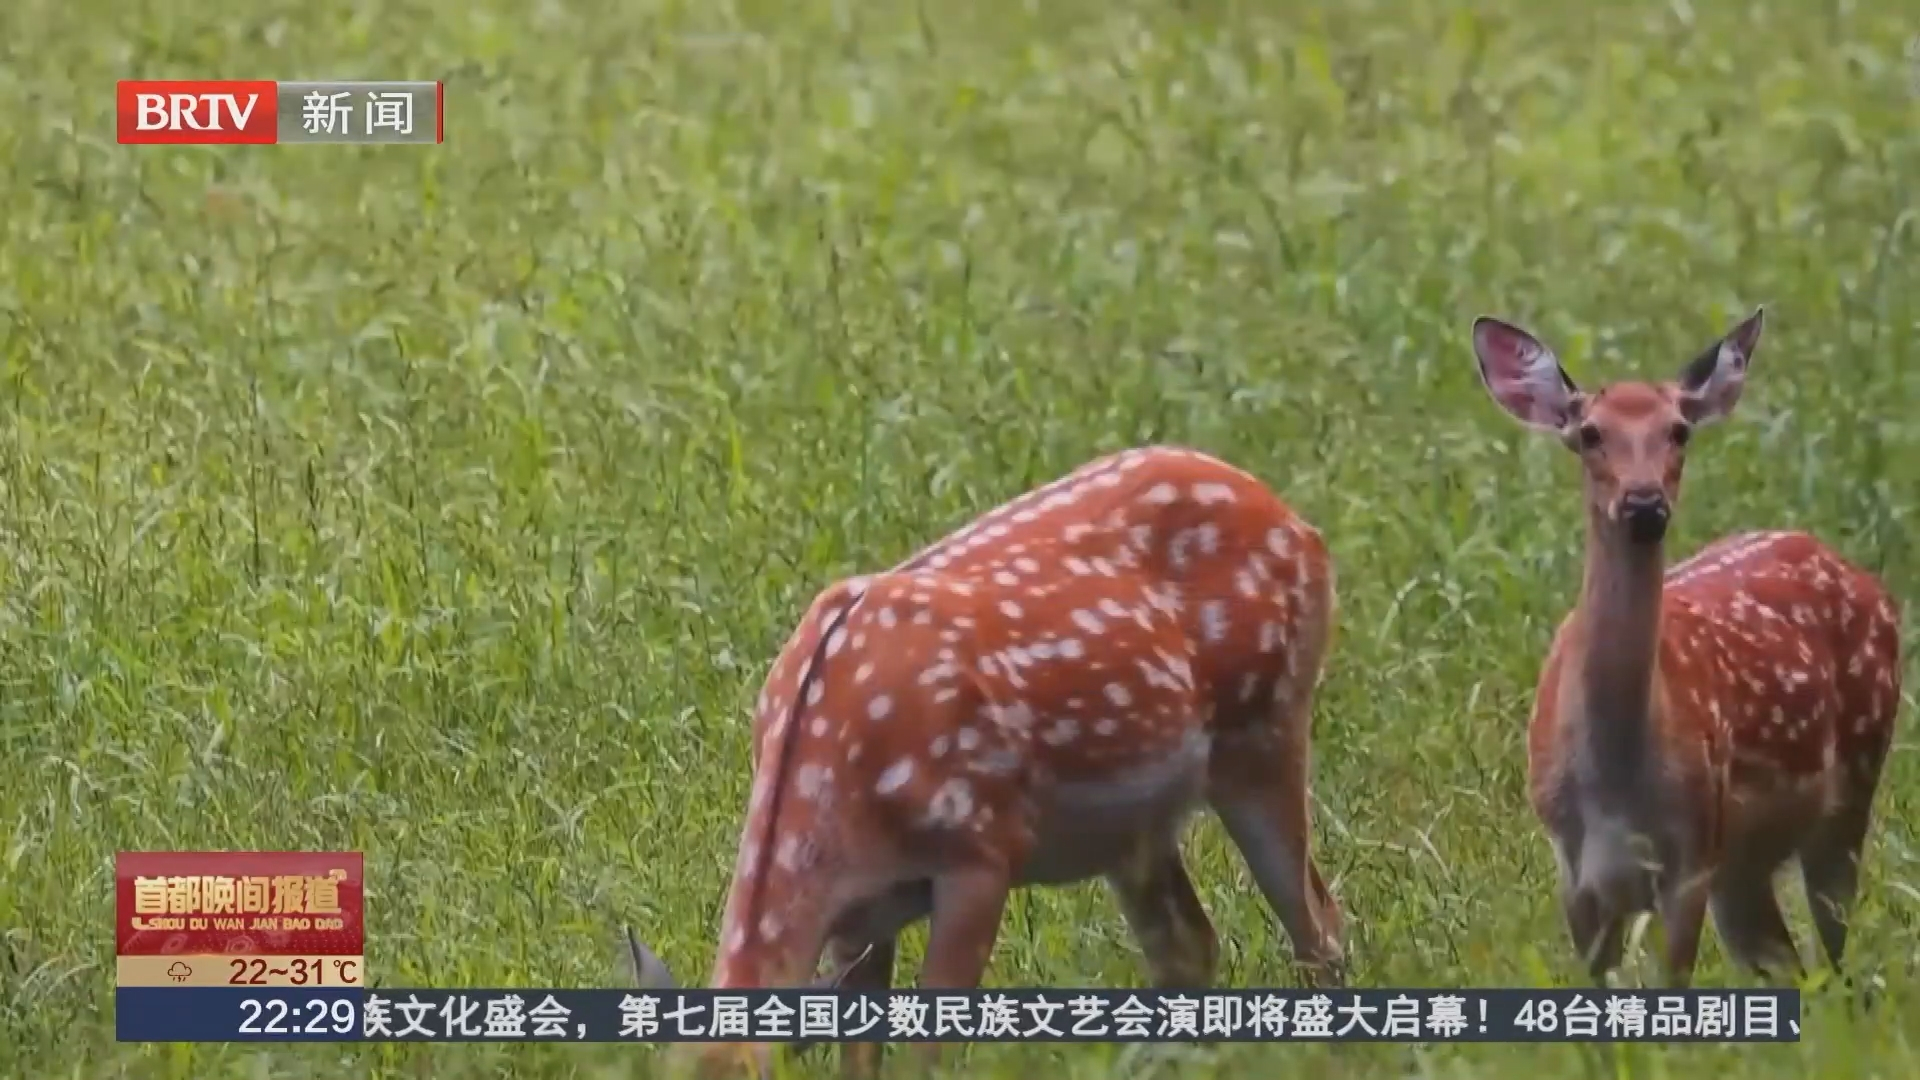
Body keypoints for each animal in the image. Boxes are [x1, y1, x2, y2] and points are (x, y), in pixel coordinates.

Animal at [633, 444, 1348, 1077]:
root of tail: (1299, 523)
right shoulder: (859, 923)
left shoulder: (980, 854)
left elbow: (927, 1056)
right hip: (1137, 825)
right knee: (1190, 944)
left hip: (1267, 726)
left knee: (1318, 922)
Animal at [1470, 306, 1904, 990]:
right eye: (1589, 433)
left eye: (1678, 431)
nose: (1645, 503)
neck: (1617, 784)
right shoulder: (1575, 871)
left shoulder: (1690, 857)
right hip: (1745, 864)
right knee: (1789, 961)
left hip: (1852, 783)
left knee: (1835, 959)